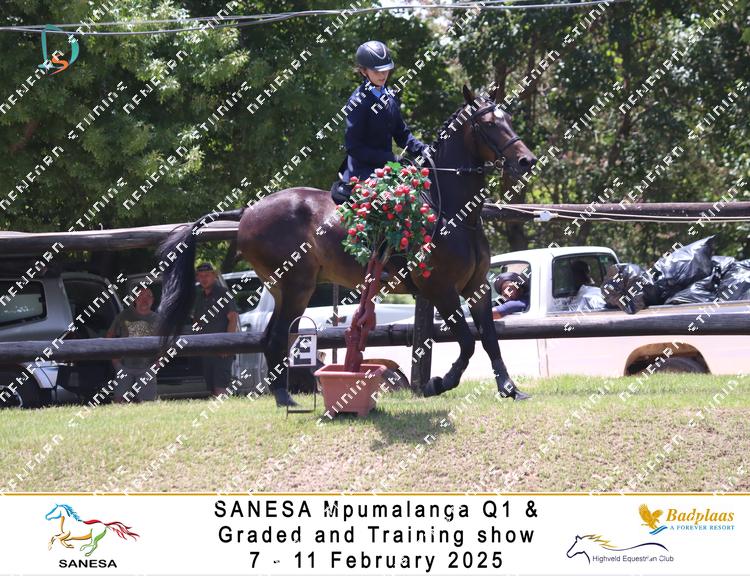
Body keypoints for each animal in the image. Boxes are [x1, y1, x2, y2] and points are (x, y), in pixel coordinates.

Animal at [156, 84, 537, 407]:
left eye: (509, 119)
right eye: (489, 124)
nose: (526, 161)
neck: (454, 212)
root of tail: (247, 211)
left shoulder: (477, 286)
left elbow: (489, 338)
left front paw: (510, 389)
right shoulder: (440, 289)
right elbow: (467, 342)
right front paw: (437, 383)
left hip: (284, 288)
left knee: (270, 338)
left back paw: (283, 396)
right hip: (297, 285)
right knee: (277, 337)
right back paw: (285, 399)